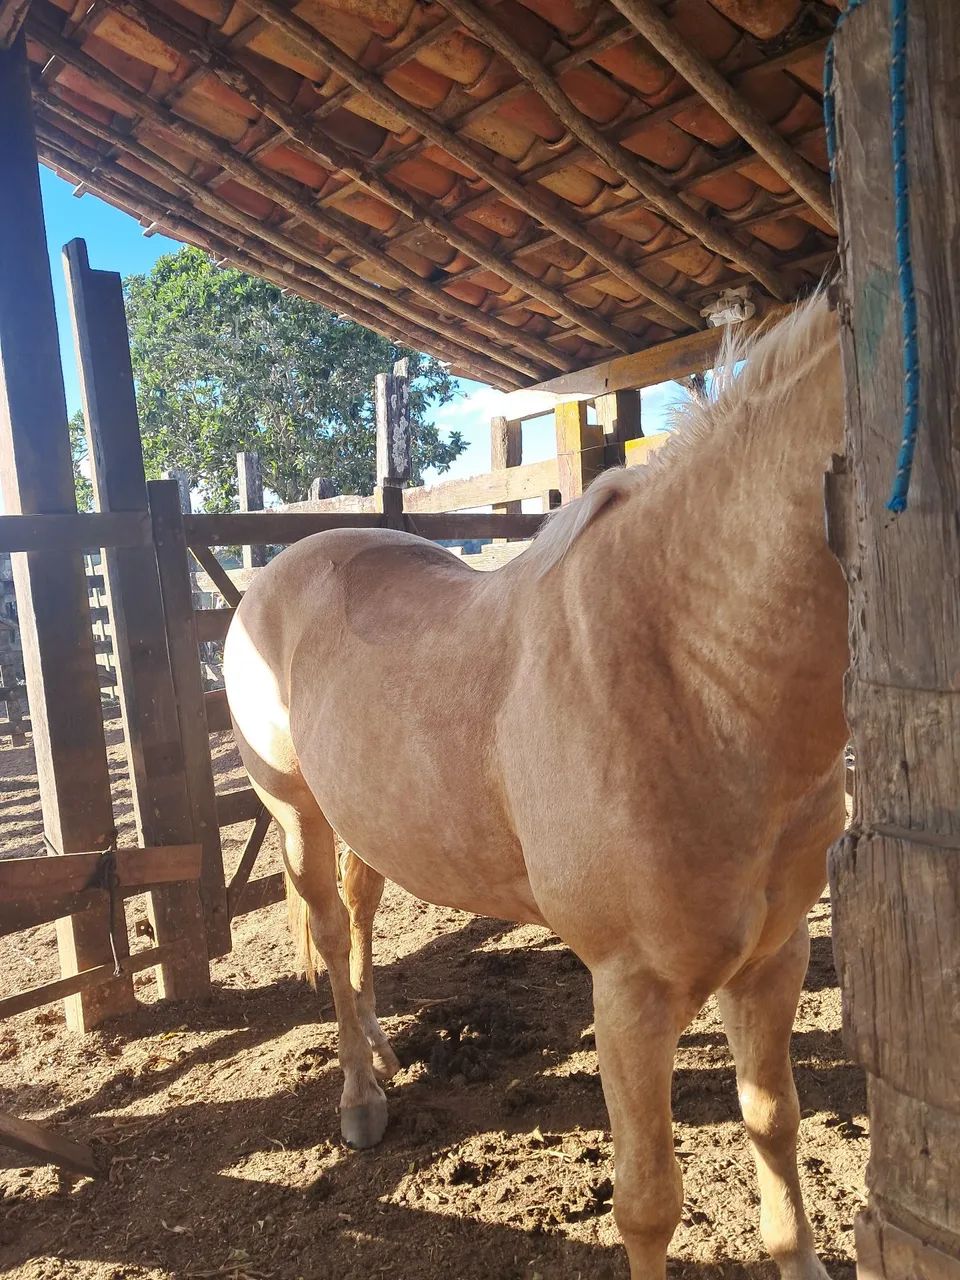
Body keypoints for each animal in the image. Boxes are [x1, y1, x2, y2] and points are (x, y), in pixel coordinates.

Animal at [223, 292, 847, 1280]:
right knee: (326, 929)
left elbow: (774, 1127)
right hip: (298, 815)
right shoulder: (631, 992)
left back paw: (387, 1052)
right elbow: (648, 1203)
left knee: (359, 917)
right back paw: (362, 1097)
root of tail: (279, 569)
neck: (691, 668)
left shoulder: (775, 958)